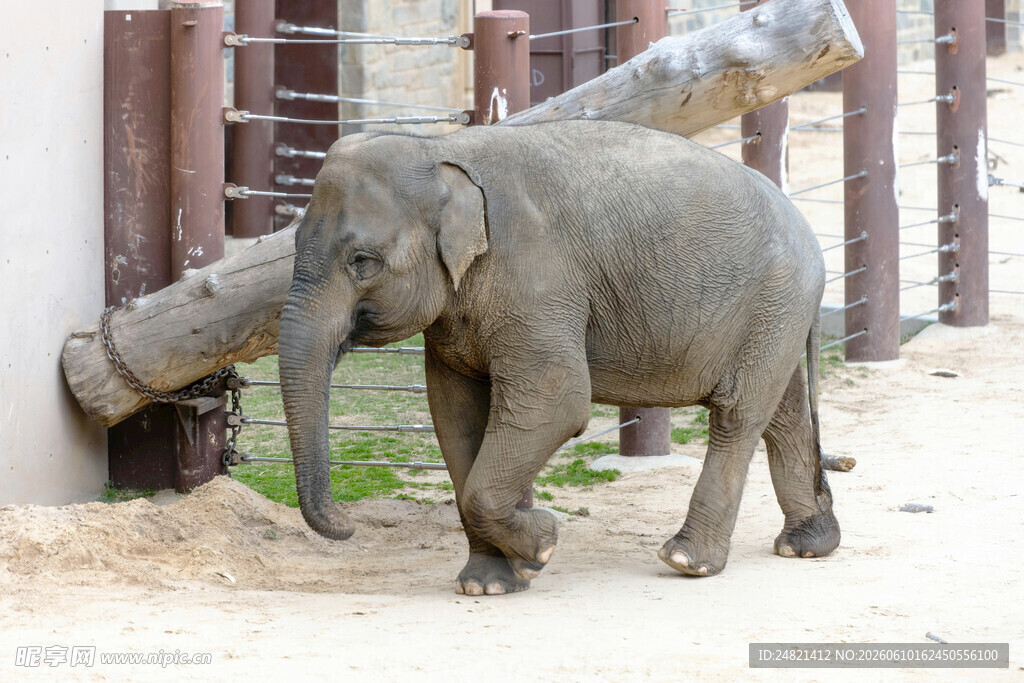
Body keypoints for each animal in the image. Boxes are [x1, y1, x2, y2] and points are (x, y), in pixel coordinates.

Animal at [277, 119, 841, 595]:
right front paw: (490, 583)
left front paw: (542, 545)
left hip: (775, 300)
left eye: (362, 261)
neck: (440, 147)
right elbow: (455, 417)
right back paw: (807, 546)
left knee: (737, 415)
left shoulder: (536, 279)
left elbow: (558, 400)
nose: (349, 524)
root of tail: (806, 226)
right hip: (775, 315)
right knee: (783, 414)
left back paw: (687, 561)